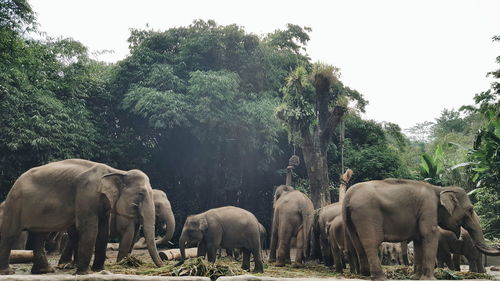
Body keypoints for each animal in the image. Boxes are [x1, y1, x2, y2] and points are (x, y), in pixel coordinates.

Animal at [0, 159, 162, 274]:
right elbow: (90, 228)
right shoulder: (86, 194)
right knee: (10, 234)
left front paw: (99, 270)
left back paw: (44, 271)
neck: (116, 171)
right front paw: (83, 273)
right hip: (15, 203)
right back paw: (8, 272)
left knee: (39, 235)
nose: (162, 266)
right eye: (141, 194)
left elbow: (103, 231)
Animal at [344, 178, 500, 278]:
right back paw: (380, 278)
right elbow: (429, 234)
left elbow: (419, 240)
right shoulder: (428, 207)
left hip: (352, 219)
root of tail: (348, 196)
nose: (497, 246)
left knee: (357, 243)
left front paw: (416, 277)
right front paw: (431, 279)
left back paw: (364, 275)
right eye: (470, 209)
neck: (439, 189)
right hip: (367, 214)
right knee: (371, 243)